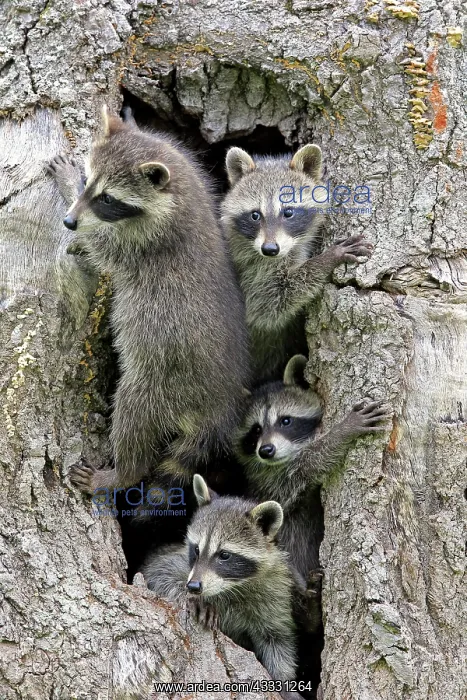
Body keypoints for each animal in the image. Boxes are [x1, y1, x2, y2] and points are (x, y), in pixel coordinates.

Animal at [48, 108, 250, 493]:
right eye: (91, 183)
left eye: (108, 199)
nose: (68, 221)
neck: (179, 194)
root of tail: (220, 405)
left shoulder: (144, 244)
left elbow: (102, 246)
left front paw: (68, 188)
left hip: (162, 383)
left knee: (133, 417)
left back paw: (121, 473)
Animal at [142, 474, 304, 700]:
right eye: (197, 549)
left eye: (224, 555)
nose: (193, 586)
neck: (233, 586)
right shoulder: (179, 562)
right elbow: (158, 571)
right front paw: (190, 597)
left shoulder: (275, 591)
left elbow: (277, 639)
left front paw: (284, 680)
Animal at [221, 145, 373, 383]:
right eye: (255, 215)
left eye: (288, 212)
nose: (270, 249)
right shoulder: (250, 266)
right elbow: (269, 305)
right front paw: (327, 259)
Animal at [236, 354, 391, 582]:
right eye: (256, 430)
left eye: (285, 421)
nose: (266, 450)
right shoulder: (273, 480)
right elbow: (310, 463)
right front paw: (342, 431)